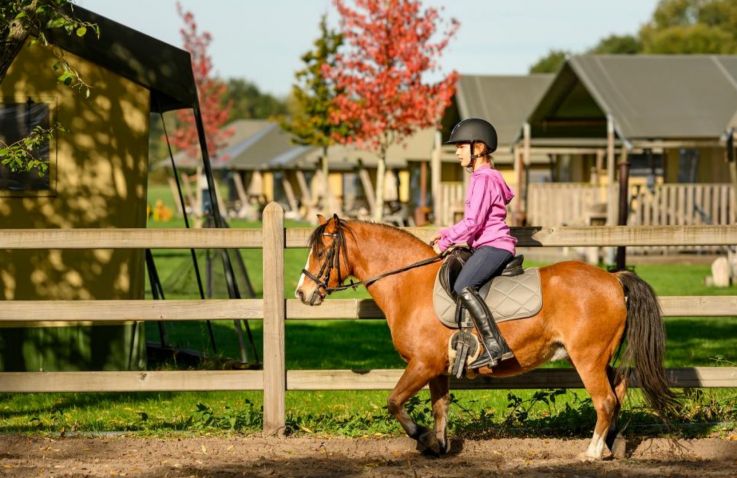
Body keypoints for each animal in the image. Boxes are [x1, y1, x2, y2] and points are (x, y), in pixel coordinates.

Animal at [294, 217, 672, 460]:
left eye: (321, 253)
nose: (302, 293)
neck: (410, 285)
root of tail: (613, 279)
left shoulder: (421, 364)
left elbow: (394, 402)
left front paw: (421, 437)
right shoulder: (437, 368)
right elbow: (441, 406)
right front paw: (438, 445)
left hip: (587, 358)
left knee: (605, 401)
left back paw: (591, 453)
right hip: (603, 358)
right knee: (617, 393)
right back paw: (609, 447)